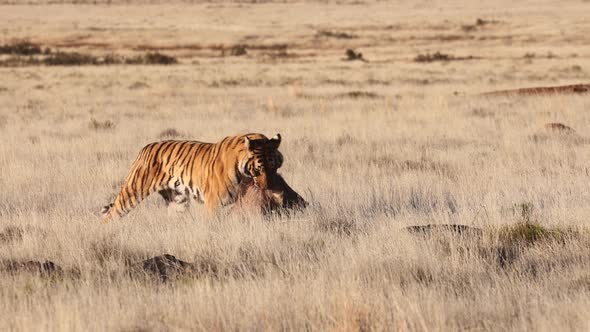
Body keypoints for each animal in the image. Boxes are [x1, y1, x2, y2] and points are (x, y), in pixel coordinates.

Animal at [101, 132, 284, 220]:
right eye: (258, 170)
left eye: (273, 167)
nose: (268, 187)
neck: (245, 175)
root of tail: (145, 148)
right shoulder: (215, 203)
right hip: (133, 191)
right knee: (111, 214)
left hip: (177, 201)